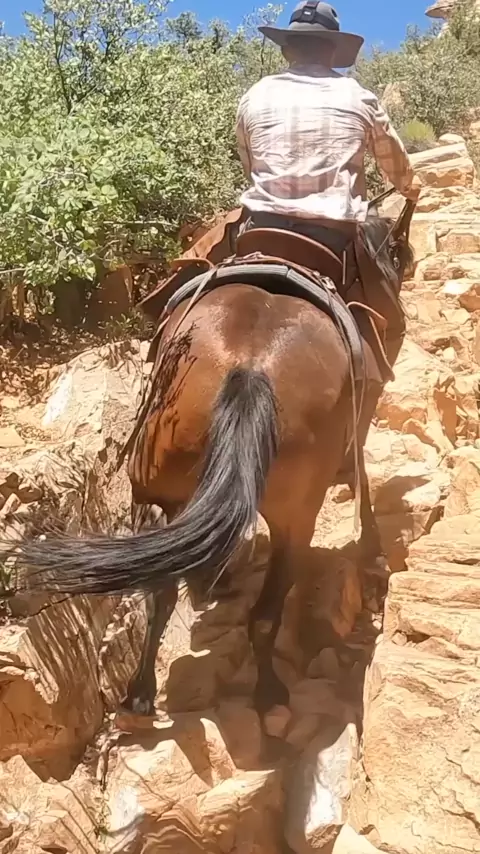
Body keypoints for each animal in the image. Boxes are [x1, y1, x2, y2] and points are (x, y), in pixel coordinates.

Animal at [8, 195, 415, 724]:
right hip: (294, 518)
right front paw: (373, 547)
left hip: (156, 487)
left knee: (160, 588)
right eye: (400, 256)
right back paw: (269, 694)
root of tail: (249, 366)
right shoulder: (361, 417)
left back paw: (140, 692)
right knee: (265, 611)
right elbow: (362, 470)